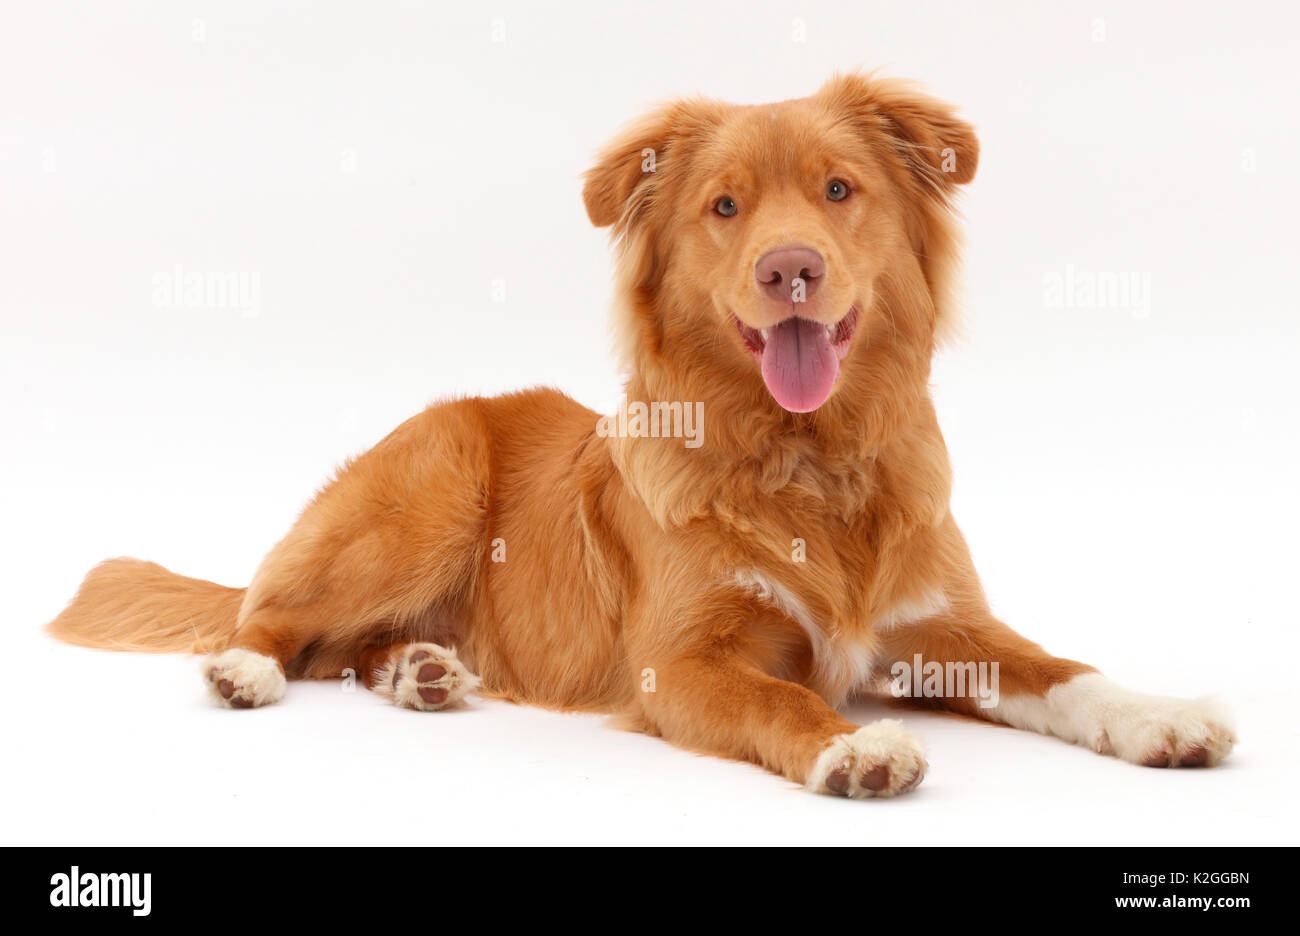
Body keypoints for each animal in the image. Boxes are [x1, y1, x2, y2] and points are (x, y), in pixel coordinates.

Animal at [48, 76, 1227, 800]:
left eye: (838, 190)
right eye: (724, 207)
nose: (788, 267)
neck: (807, 456)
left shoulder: (945, 630)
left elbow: (1063, 669)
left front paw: (1159, 717)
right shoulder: (683, 663)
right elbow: (781, 697)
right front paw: (855, 746)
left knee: (351, 650)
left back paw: (421, 670)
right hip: (423, 492)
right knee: (275, 619)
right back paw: (249, 672)